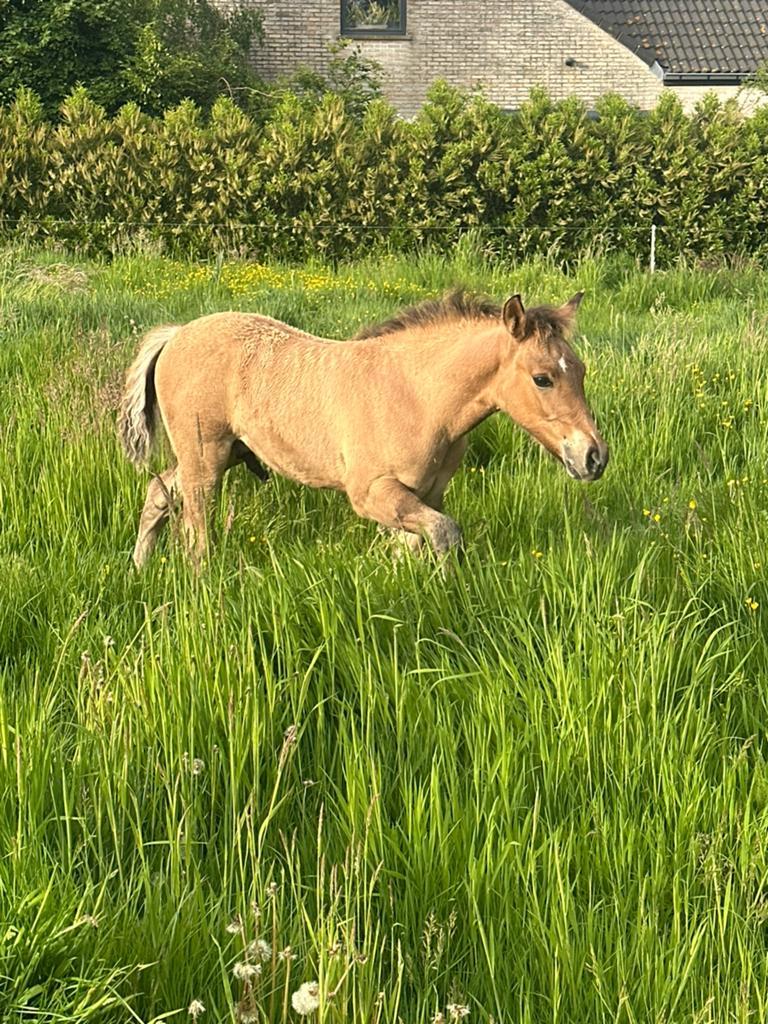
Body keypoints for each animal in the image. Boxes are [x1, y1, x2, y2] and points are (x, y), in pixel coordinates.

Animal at [118, 290, 608, 567]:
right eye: (543, 378)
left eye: (582, 371)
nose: (594, 457)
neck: (417, 394)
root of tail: (178, 333)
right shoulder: (372, 493)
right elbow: (446, 534)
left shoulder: (426, 494)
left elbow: (414, 548)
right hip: (206, 458)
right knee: (195, 532)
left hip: (222, 455)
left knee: (159, 493)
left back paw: (139, 567)